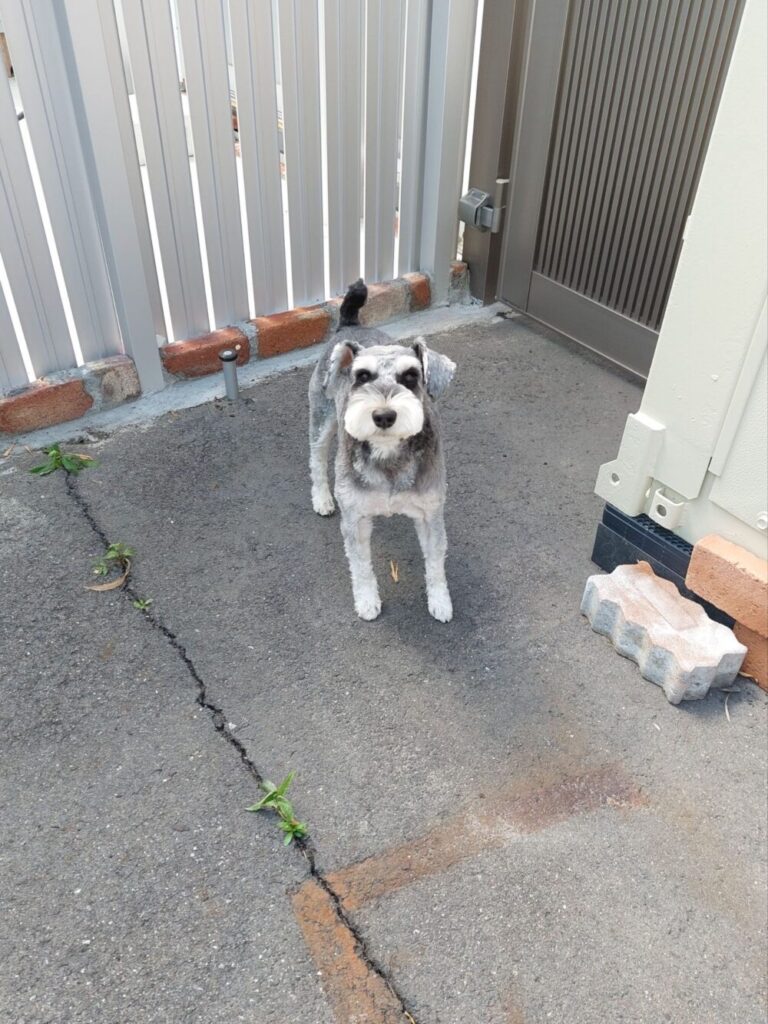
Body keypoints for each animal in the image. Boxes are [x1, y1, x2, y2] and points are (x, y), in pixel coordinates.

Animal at [308, 279, 456, 622]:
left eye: (411, 376)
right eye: (362, 376)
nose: (384, 416)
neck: (389, 455)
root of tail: (350, 325)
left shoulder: (431, 514)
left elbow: (436, 563)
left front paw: (440, 600)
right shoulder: (355, 518)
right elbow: (361, 566)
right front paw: (366, 601)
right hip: (321, 421)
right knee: (316, 460)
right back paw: (322, 498)